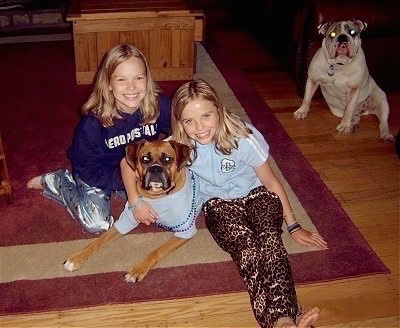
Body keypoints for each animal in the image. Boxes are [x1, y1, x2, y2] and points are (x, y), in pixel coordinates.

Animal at [64, 140, 200, 284]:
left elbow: (156, 251)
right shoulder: (125, 221)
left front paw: (138, 270)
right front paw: (76, 257)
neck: (156, 196)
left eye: (167, 159)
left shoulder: (185, 232)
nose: (155, 168)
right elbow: (98, 241)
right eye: (145, 159)